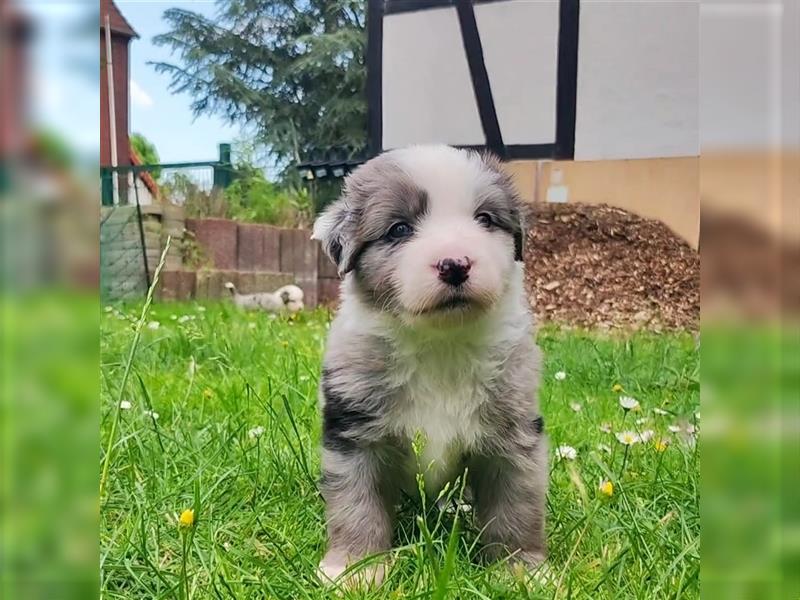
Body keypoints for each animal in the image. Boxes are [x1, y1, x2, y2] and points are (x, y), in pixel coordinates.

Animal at [310, 146, 544, 584]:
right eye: (399, 229)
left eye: (485, 219)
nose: (455, 263)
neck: (440, 344)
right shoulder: (353, 433)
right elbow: (356, 505)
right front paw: (355, 569)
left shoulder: (515, 434)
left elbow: (517, 507)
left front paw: (520, 571)